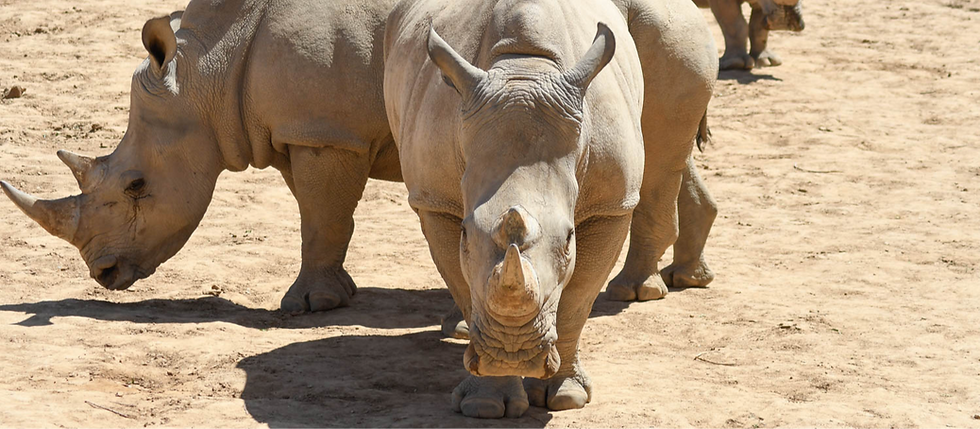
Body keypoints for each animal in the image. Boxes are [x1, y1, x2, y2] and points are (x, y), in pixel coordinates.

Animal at [0, 0, 406, 314]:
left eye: (136, 184)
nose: (104, 273)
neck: (212, 66)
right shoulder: (301, 131)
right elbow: (322, 215)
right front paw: (342, 292)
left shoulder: (326, 134)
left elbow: (320, 218)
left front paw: (311, 305)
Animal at [384, 0, 717, 418]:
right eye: (464, 234)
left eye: (570, 239)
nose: (513, 355)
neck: (523, 71)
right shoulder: (434, 199)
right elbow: (464, 285)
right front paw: (485, 403)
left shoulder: (609, 204)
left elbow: (577, 299)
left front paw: (566, 397)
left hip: (673, 30)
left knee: (660, 155)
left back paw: (635, 291)